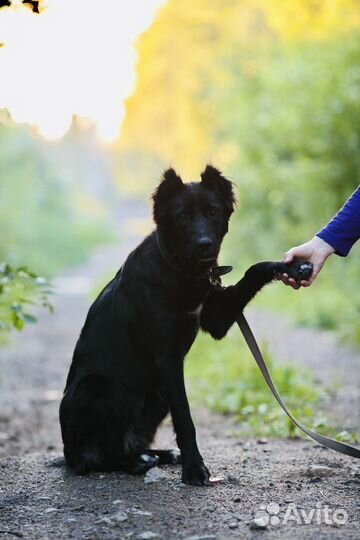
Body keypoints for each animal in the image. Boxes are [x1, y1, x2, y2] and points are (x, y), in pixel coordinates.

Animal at [60, 166, 308, 486]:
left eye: (213, 211)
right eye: (182, 216)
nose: (204, 245)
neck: (182, 272)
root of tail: (68, 452)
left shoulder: (216, 320)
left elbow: (255, 268)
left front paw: (292, 267)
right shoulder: (168, 360)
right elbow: (186, 419)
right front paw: (194, 468)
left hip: (156, 396)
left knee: (128, 444)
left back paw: (158, 455)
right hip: (103, 387)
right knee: (101, 456)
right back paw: (137, 462)